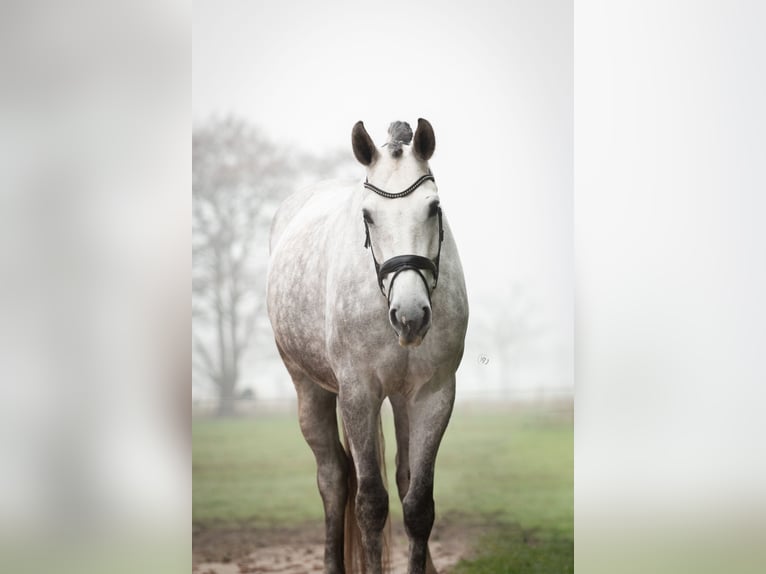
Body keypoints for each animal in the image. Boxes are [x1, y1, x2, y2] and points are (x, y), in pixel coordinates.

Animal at [267, 119, 469, 574]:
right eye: (368, 216)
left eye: (434, 208)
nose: (410, 315)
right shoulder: (358, 394)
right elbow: (371, 505)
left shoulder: (433, 394)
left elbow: (418, 505)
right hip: (309, 387)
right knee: (334, 479)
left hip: (400, 397)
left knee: (403, 478)